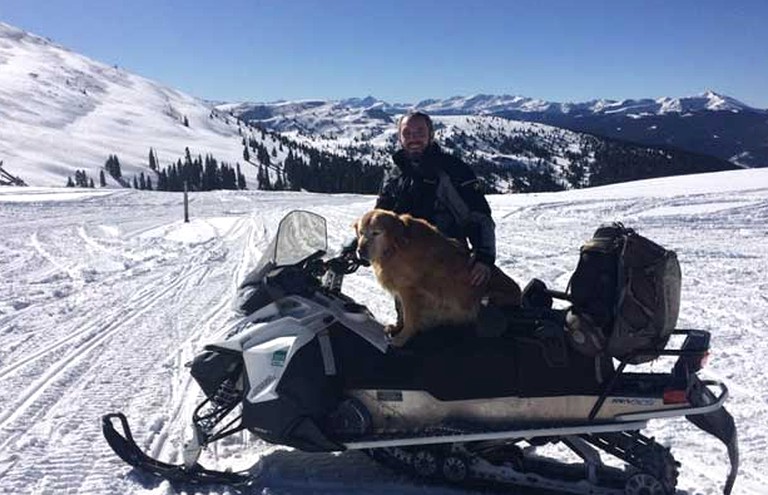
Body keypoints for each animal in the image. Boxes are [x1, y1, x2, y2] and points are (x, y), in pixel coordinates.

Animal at [356, 209, 520, 348]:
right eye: (361, 233)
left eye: (376, 233)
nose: (359, 251)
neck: (396, 247)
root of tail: (519, 294)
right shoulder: (402, 290)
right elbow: (402, 313)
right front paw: (397, 328)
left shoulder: (410, 290)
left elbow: (409, 318)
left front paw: (402, 338)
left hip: (487, 299)